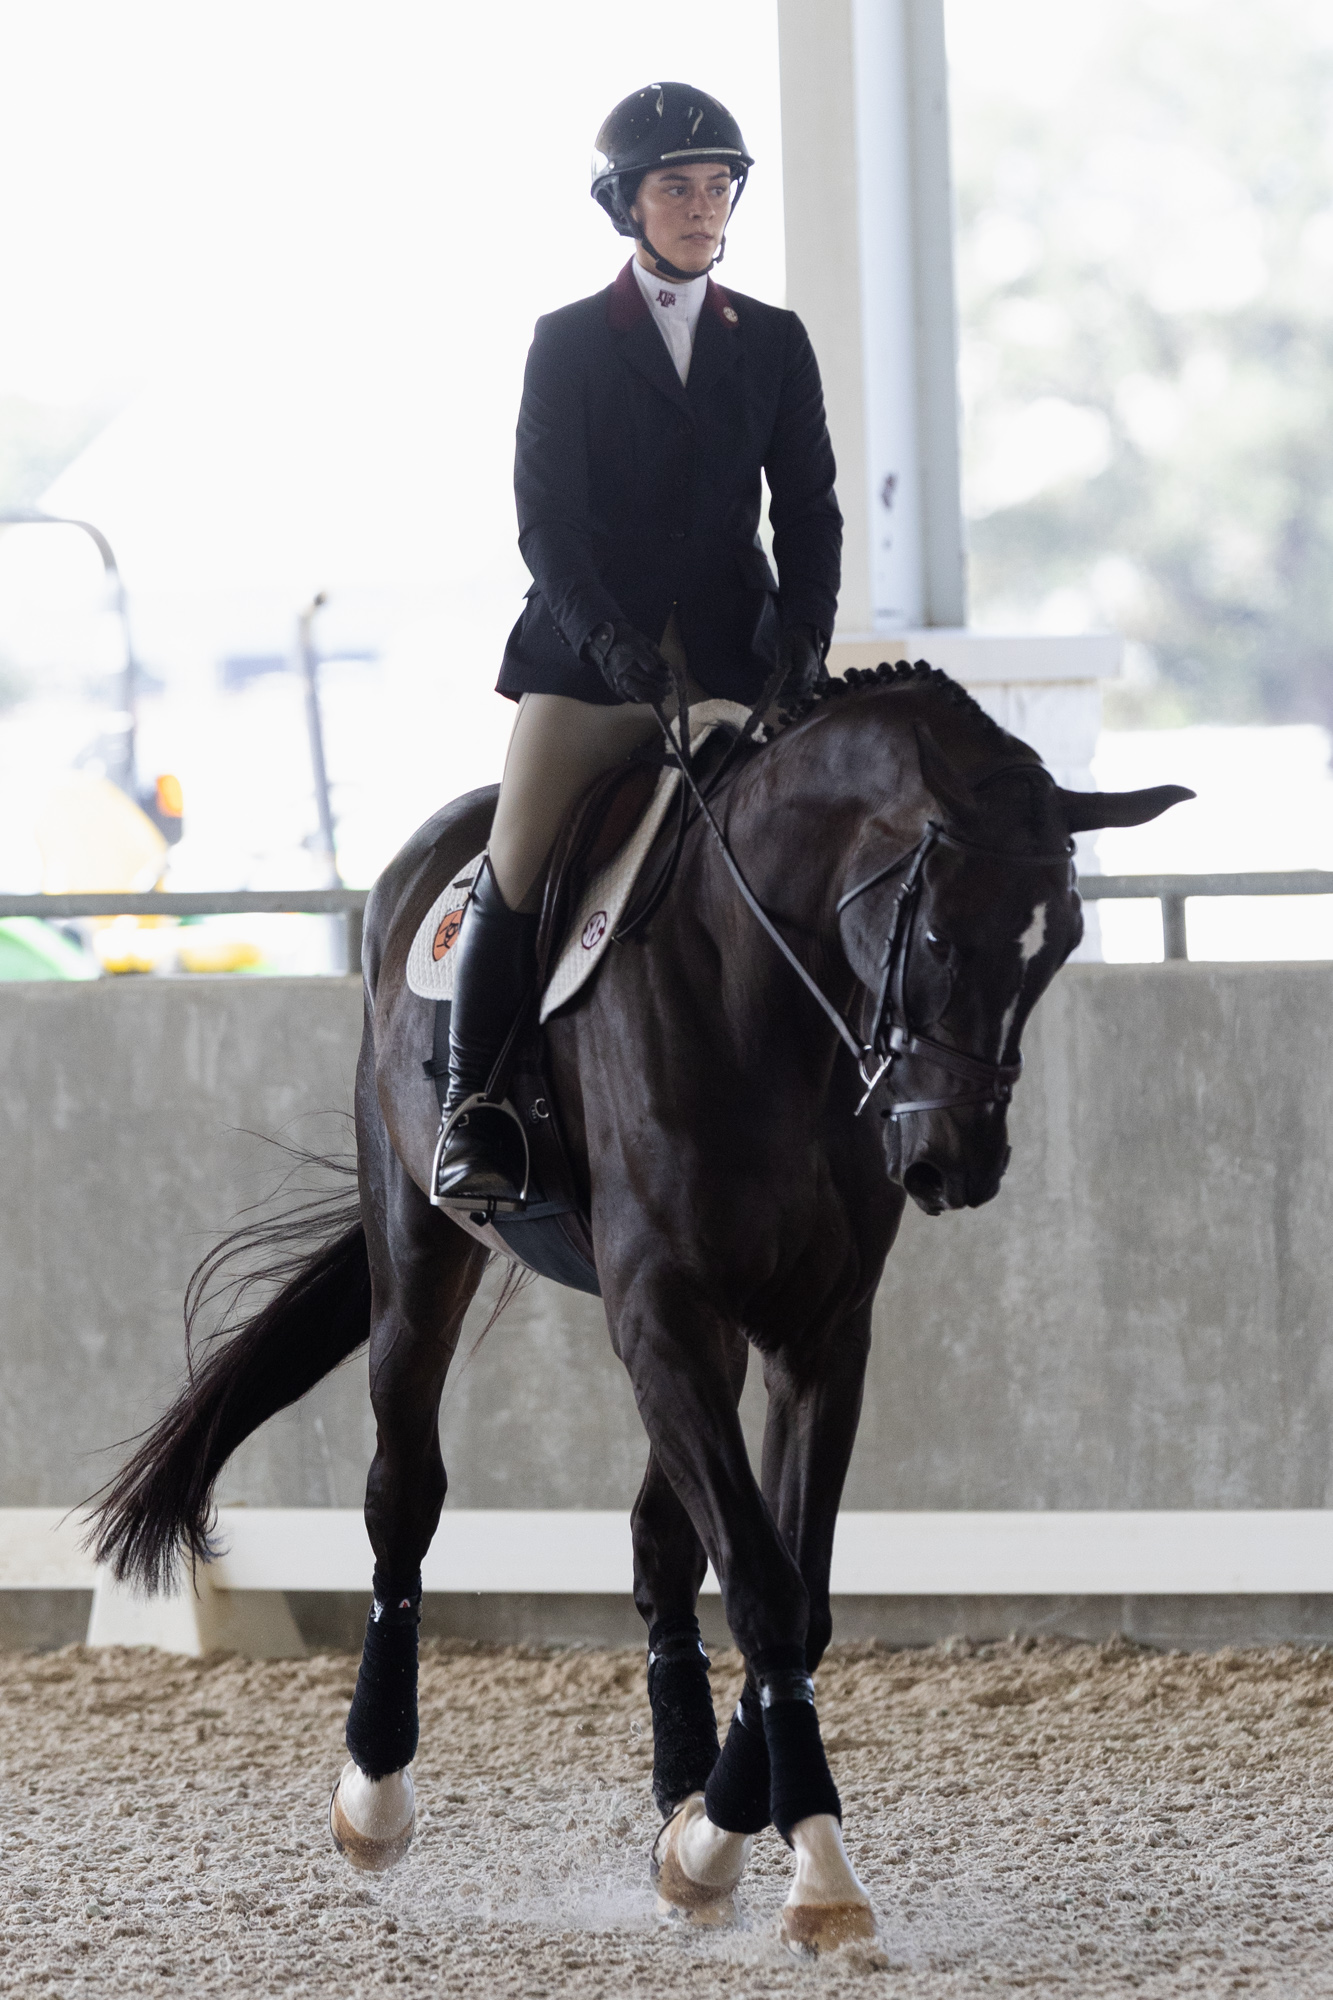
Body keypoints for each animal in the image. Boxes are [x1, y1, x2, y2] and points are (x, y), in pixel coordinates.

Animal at [93, 660, 1192, 1952]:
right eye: (931, 931)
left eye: (1058, 940)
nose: (953, 1164)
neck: (762, 995)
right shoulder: (661, 1304)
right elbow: (764, 1586)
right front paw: (810, 1862)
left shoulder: (815, 1331)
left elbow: (798, 1590)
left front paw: (717, 1831)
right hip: (424, 1244)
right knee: (404, 1492)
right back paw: (374, 1792)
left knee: (658, 1538)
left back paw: (680, 1788)